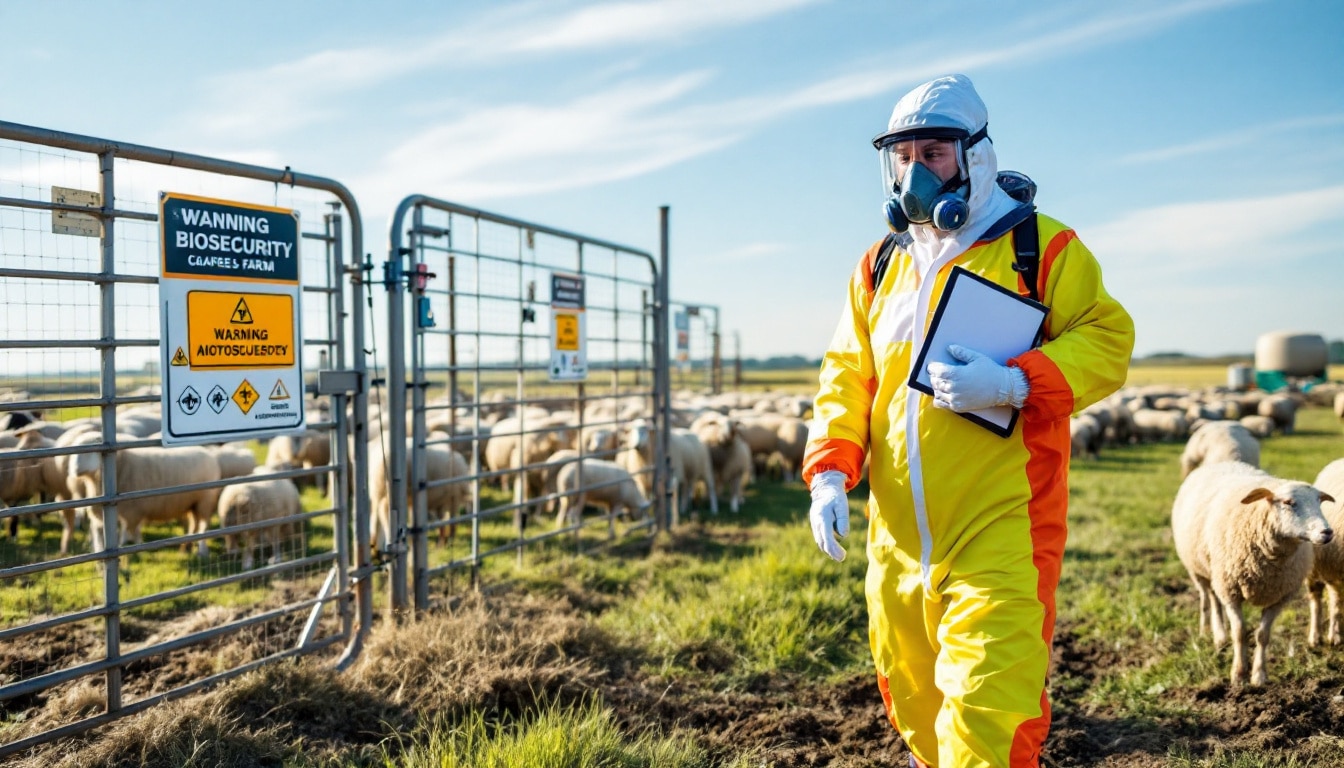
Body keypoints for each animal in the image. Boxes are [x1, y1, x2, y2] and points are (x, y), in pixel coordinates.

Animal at [1166, 459, 1333, 688]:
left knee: (1213, 598)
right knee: (1208, 599)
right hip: (1199, 569)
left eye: (1319, 502)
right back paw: (1214, 634)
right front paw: (1238, 675)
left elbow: (1263, 635)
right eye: (1288, 502)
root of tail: (1222, 462)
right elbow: (1239, 633)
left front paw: (1259, 676)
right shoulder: (1230, 590)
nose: (1327, 532)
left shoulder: (1279, 597)